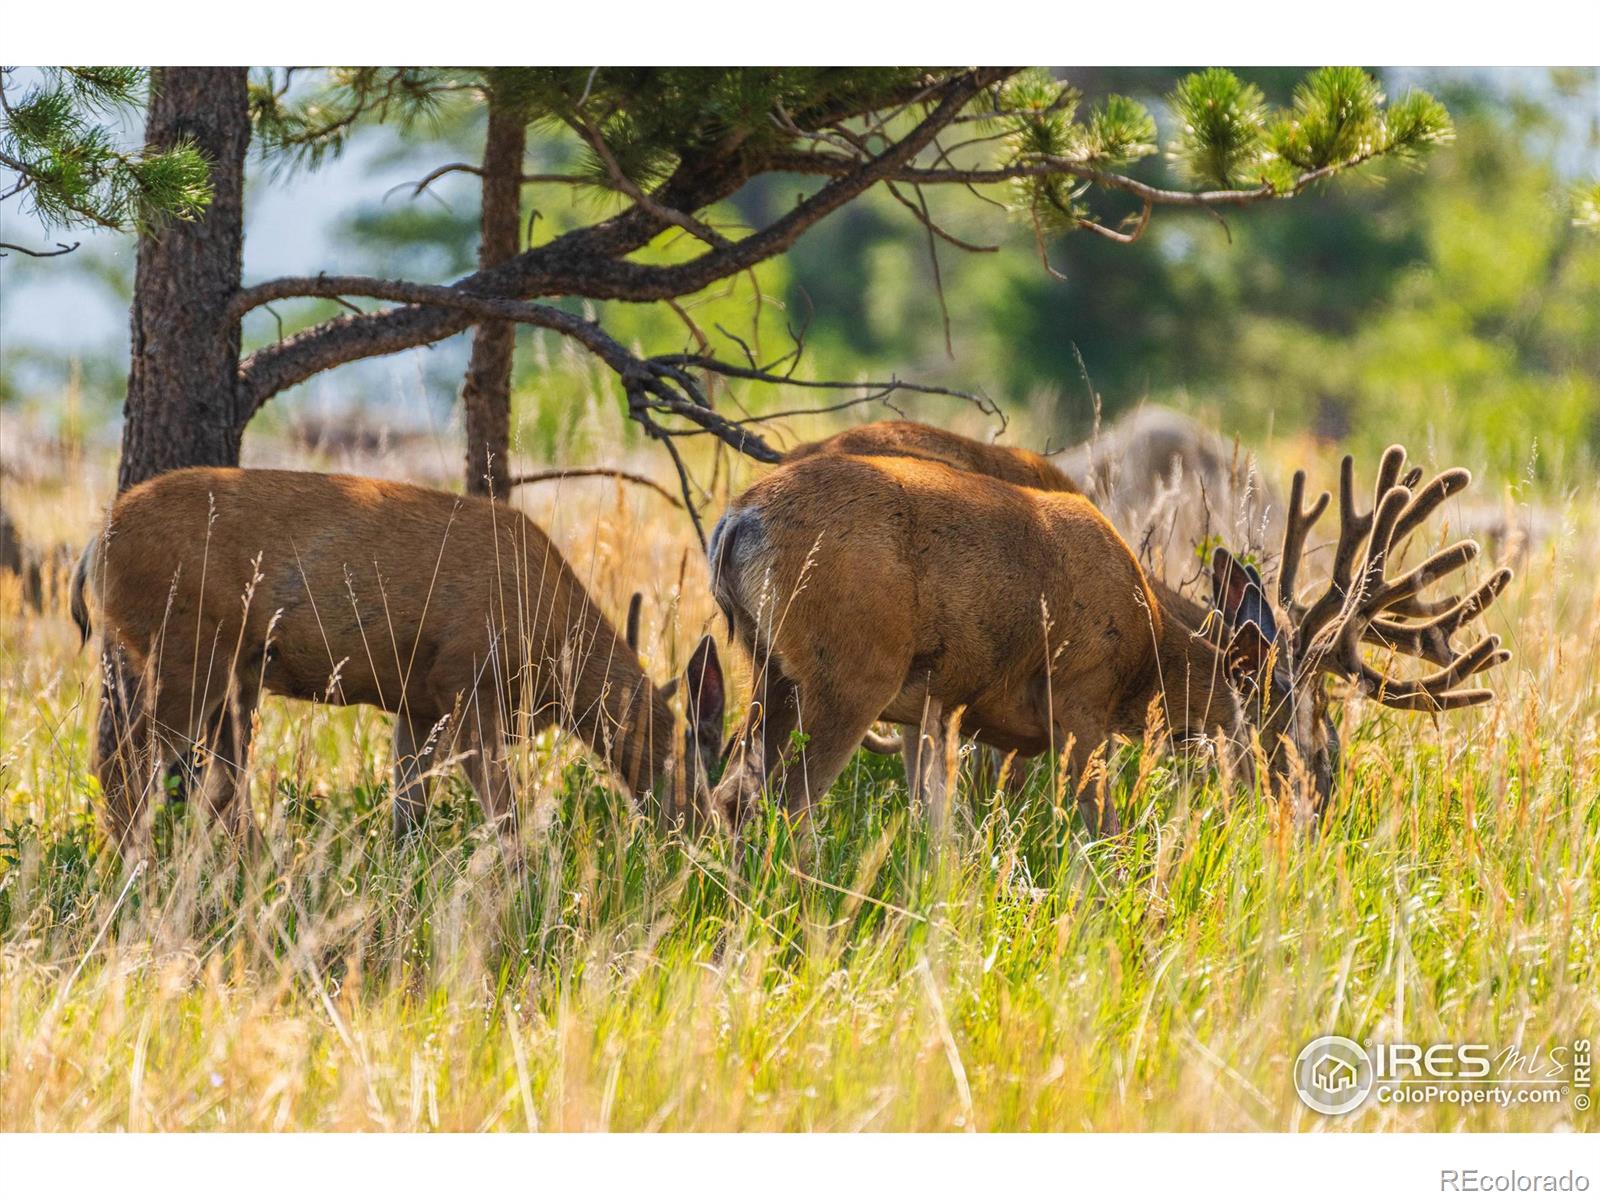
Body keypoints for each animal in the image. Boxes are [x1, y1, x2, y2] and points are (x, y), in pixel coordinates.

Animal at [713, 438, 1510, 838]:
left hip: (770, 670)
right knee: (780, 803)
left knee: (730, 792)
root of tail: (738, 520)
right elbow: (1106, 828)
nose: (1319, 801)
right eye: (1295, 713)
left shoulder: (944, 710)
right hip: (848, 672)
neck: (1146, 649)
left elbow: (939, 830)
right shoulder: (1077, 697)